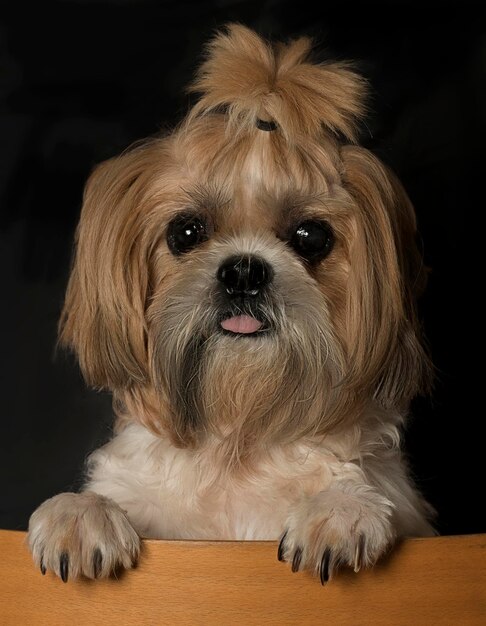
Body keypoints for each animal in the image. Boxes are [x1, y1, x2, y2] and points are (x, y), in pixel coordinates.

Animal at [27, 23, 436, 580]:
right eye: (186, 231)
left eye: (311, 236)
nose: (244, 271)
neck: (238, 442)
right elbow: (106, 500)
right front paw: (80, 513)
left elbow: (360, 489)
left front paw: (339, 511)